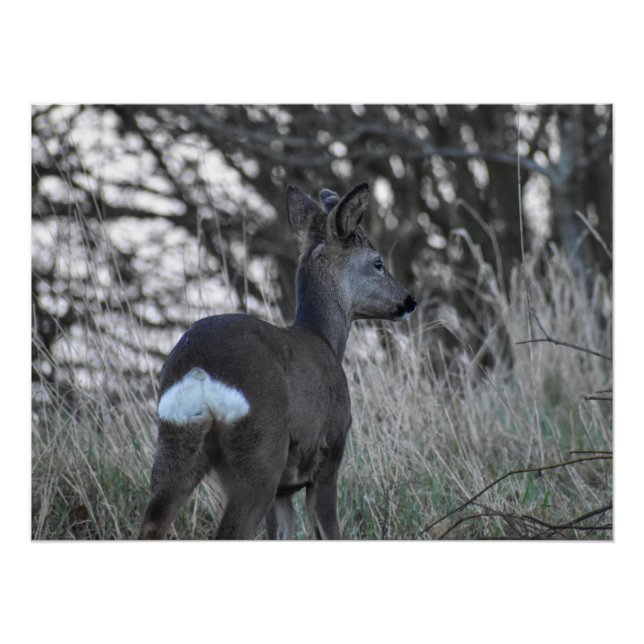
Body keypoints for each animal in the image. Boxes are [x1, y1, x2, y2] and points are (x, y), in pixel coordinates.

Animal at [138, 182, 416, 540]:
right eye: (378, 262)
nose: (409, 300)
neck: (322, 338)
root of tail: (200, 374)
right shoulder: (329, 454)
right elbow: (329, 531)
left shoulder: (285, 490)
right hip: (260, 451)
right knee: (231, 530)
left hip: (175, 441)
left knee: (152, 524)